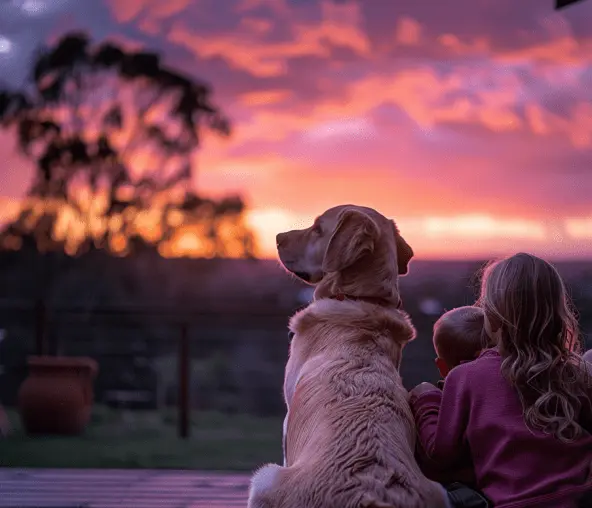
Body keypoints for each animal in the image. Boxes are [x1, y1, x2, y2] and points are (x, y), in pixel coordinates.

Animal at [246, 204, 448, 506]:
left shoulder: (286, 419)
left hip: (265, 478)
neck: (359, 297)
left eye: (318, 229)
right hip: (440, 491)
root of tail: (371, 494)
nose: (278, 237)